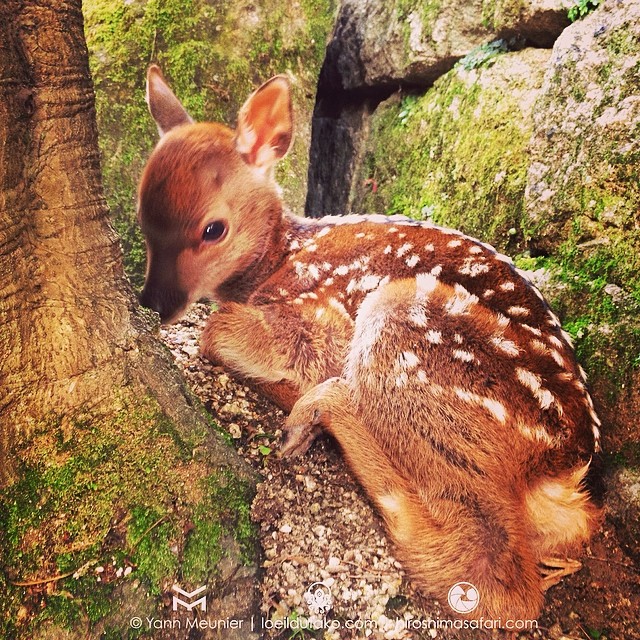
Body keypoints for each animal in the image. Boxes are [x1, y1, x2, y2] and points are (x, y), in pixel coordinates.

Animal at [139, 67, 600, 624]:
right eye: (141, 220)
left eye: (213, 229)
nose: (150, 303)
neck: (280, 257)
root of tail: (563, 467)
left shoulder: (324, 314)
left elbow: (216, 330)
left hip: (406, 329)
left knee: (493, 572)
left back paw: (321, 411)